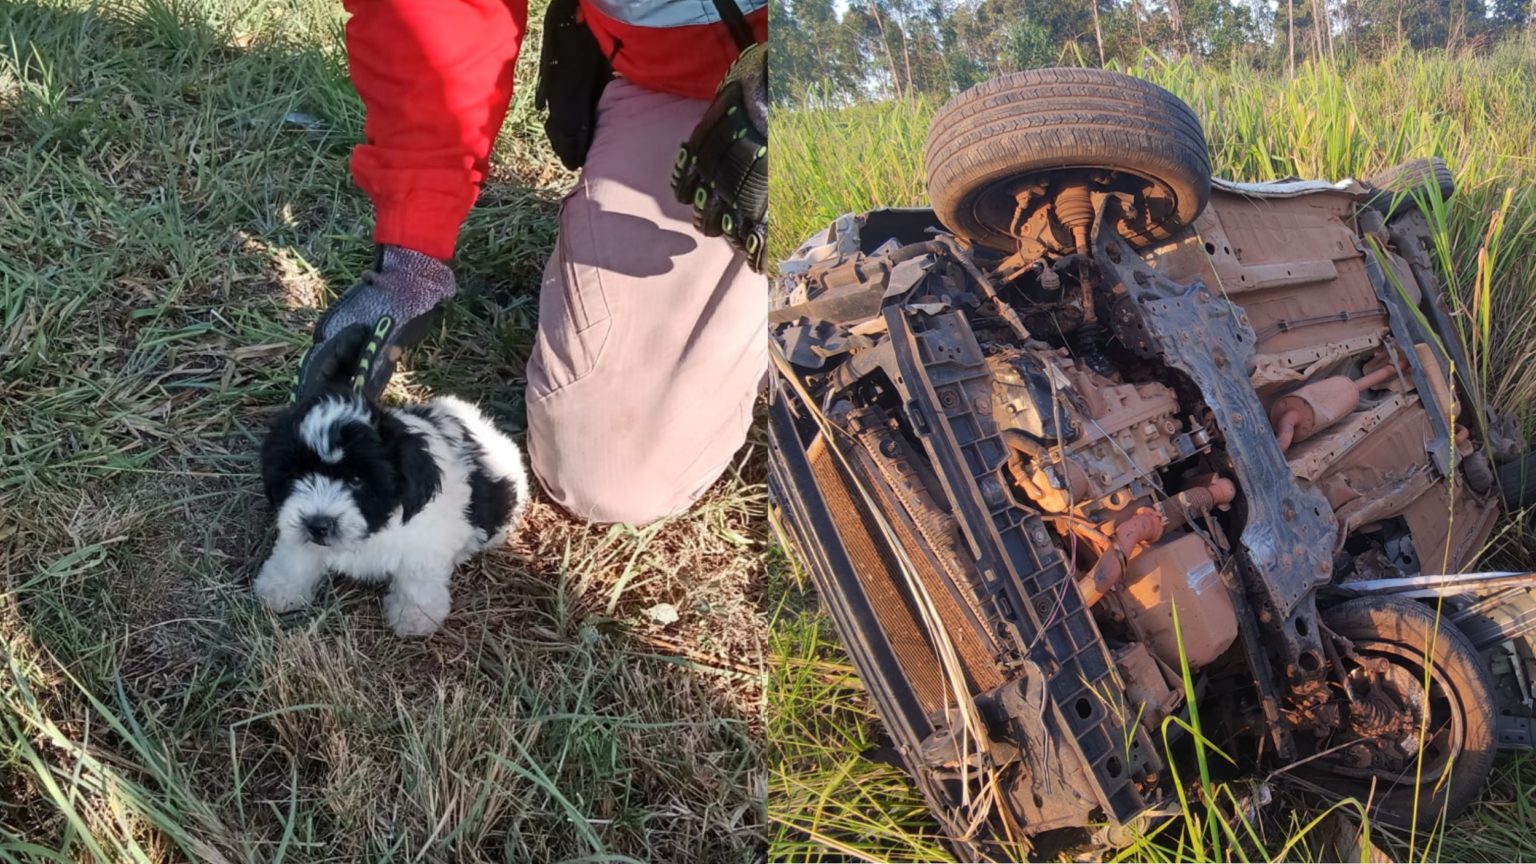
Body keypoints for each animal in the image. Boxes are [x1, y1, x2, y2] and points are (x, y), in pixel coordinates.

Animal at [254, 390, 531, 633]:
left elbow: (417, 580)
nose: (318, 525)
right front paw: (280, 588)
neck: (374, 529)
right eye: (296, 475)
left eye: (356, 480)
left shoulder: (424, 542)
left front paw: (414, 616)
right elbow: (295, 556)